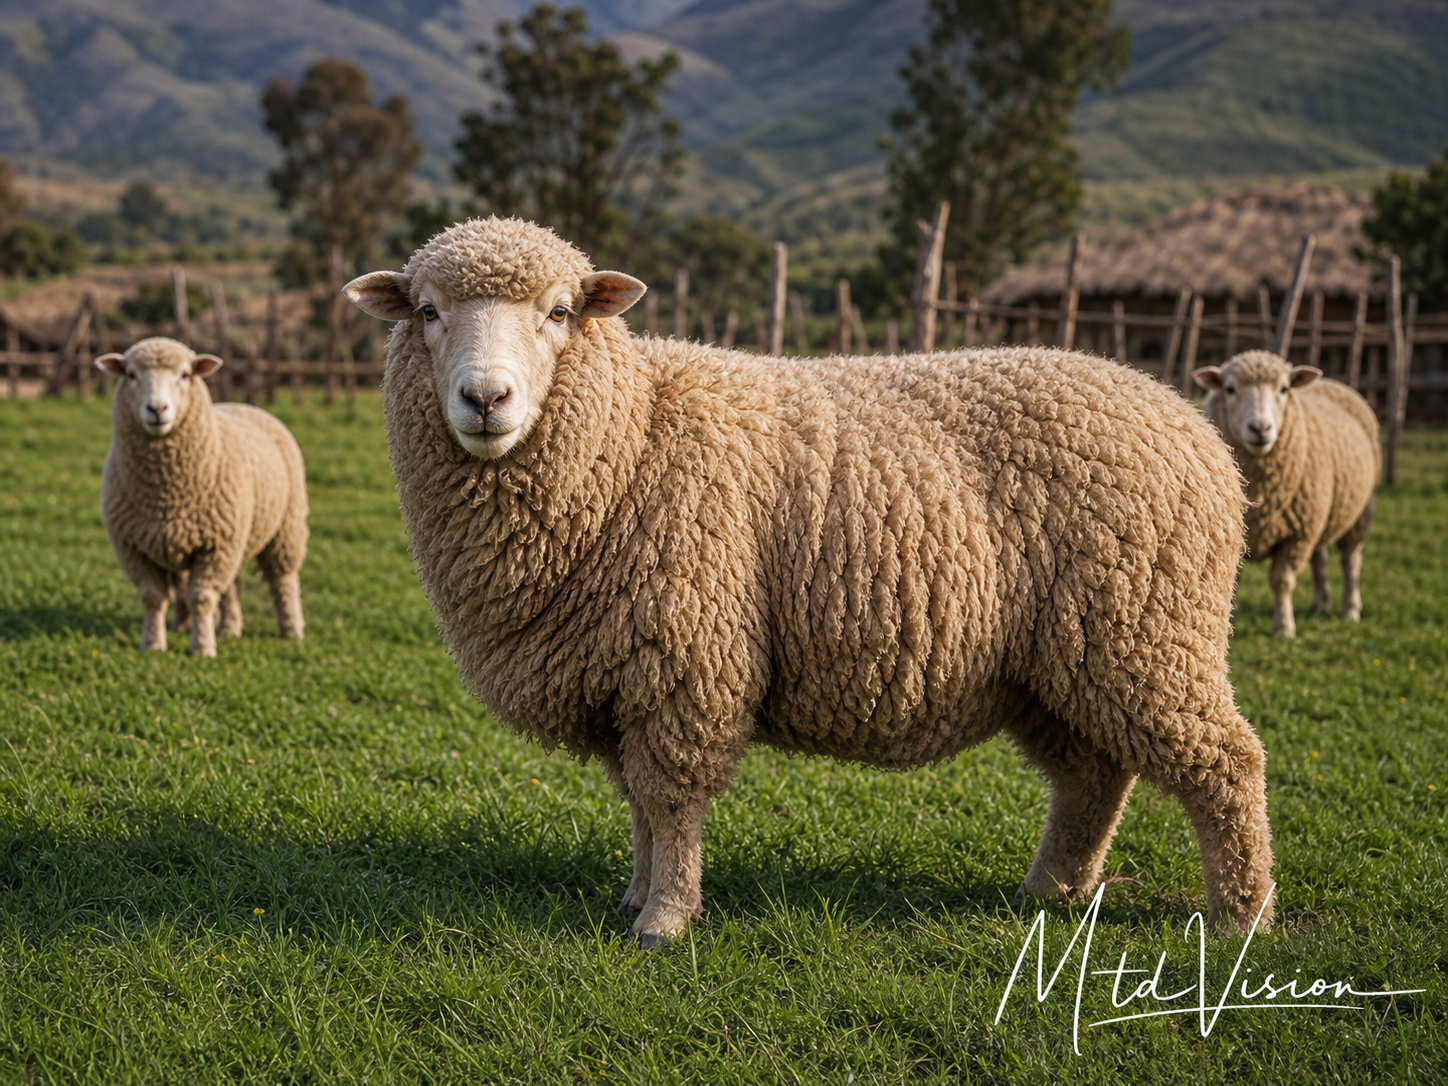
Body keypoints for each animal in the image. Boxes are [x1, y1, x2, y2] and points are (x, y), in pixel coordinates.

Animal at [95, 337, 309, 656]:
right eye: (131, 375)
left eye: (185, 375)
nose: (157, 409)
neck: (166, 495)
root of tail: (241, 404)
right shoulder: (134, 547)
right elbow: (153, 597)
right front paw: (153, 645)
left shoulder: (215, 545)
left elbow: (202, 597)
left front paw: (203, 648)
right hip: (229, 537)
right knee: (229, 585)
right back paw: (225, 628)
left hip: (285, 526)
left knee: (282, 579)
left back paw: (291, 630)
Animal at [345, 216, 1274, 944]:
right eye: (427, 312)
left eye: (560, 312)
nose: (485, 399)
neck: (633, 436)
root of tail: (1196, 432)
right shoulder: (622, 672)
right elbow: (640, 803)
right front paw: (635, 897)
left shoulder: (684, 658)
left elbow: (670, 800)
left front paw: (665, 921)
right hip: (1059, 660)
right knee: (1092, 778)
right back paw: (1051, 889)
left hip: (1147, 631)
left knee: (1226, 764)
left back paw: (1241, 915)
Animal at [1193, 351, 1378, 638]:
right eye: (1230, 389)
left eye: (1283, 389)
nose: (1260, 429)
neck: (1260, 495)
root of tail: (1330, 381)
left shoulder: (1297, 534)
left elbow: (1282, 581)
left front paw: (1284, 628)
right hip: (1319, 514)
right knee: (1319, 559)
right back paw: (1320, 604)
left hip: (1359, 513)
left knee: (1351, 561)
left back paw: (1350, 610)